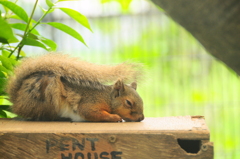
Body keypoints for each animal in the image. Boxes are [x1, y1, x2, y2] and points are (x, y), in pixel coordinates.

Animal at [6, 53, 144, 121]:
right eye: (128, 103)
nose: (141, 118)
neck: (107, 98)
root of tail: (17, 99)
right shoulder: (90, 103)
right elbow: (90, 113)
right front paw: (114, 117)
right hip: (48, 95)